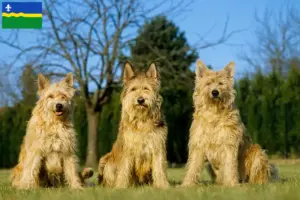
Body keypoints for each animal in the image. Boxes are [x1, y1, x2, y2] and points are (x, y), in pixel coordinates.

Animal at [180, 59, 278, 188]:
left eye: (221, 83)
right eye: (208, 83)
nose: (215, 92)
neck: (214, 113)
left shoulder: (229, 144)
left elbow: (230, 165)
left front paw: (232, 184)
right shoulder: (198, 145)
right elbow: (193, 166)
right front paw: (186, 184)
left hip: (258, 153)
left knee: (258, 176)